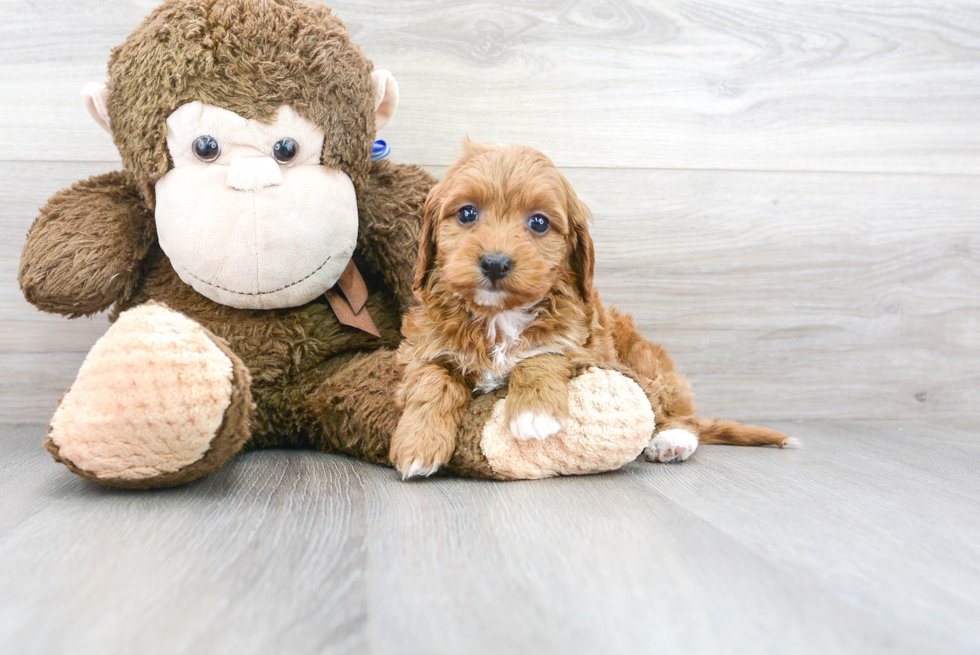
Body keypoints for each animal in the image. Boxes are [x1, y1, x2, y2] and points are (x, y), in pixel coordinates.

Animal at [388, 141, 788, 480]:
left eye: (538, 222)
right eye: (467, 213)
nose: (495, 263)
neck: (499, 316)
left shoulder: (581, 346)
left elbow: (540, 355)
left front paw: (534, 413)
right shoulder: (423, 346)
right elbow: (431, 382)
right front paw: (418, 443)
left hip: (644, 362)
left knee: (676, 407)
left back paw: (672, 440)